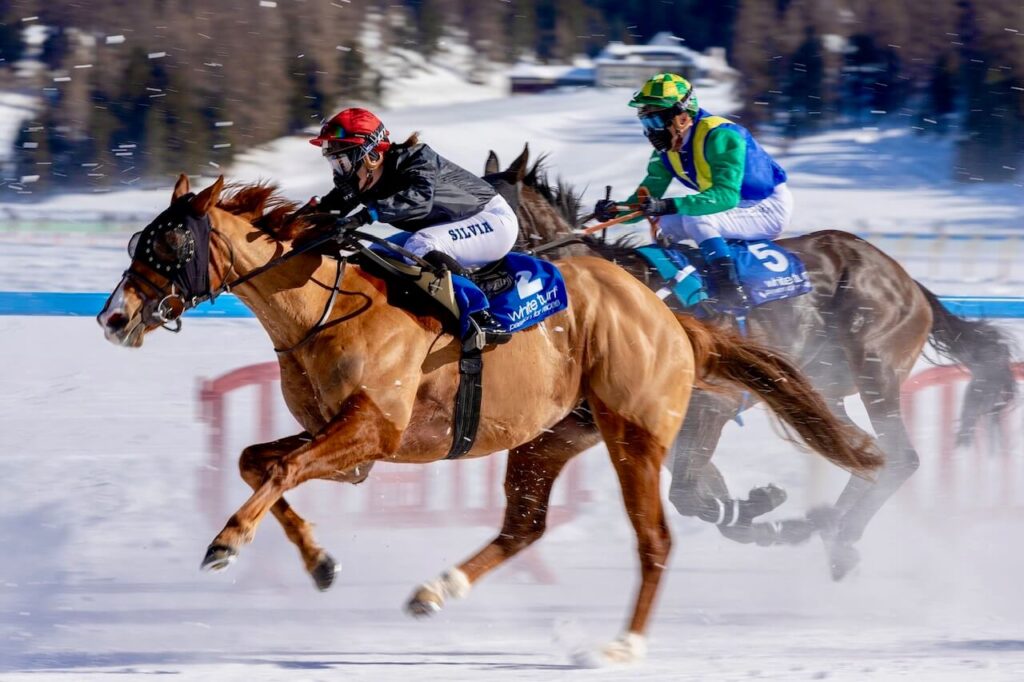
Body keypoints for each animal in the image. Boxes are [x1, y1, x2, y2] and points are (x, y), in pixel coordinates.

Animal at [97, 172, 880, 662]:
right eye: (140, 242)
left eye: (167, 245)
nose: (113, 318)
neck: (323, 303)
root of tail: (671, 320)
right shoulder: (352, 451)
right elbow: (258, 461)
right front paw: (319, 563)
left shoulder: (372, 429)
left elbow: (281, 466)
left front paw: (227, 542)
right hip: (550, 436)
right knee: (524, 526)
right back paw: (435, 590)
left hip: (634, 433)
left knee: (655, 539)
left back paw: (623, 644)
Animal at [484, 147, 1017, 580]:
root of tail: (908, 282)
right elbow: (702, 498)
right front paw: (774, 519)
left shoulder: (712, 408)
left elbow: (690, 495)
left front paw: (771, 511)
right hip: (819, 389)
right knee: (865, 453)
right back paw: (833, 532)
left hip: (876, 367)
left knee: (900, 458)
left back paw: (841, 536)